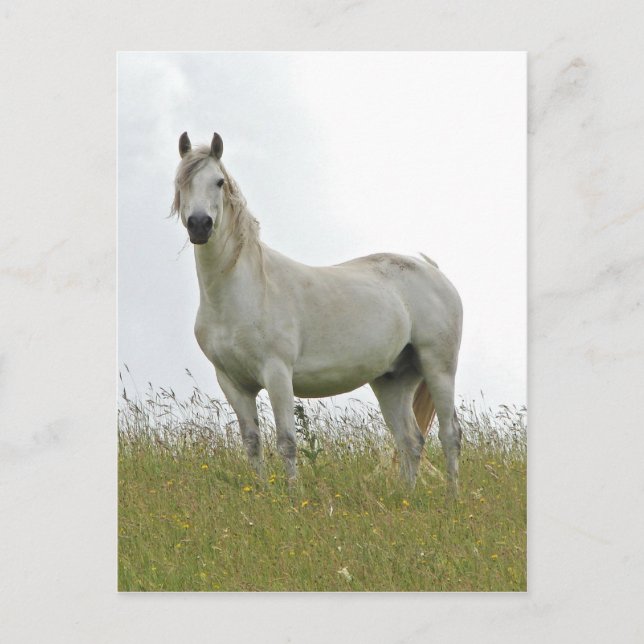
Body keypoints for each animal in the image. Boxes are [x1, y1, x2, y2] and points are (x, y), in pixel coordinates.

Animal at [172, 132, 464, 493]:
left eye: (218, 181)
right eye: (181, 182)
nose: (200, 225)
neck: (242, 292)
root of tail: (434, 272)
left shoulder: (277, 374)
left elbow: (286, 441)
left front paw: (292, 496)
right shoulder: (232, 383)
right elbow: (252, 443)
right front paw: (262, 494)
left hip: (439, 367)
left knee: (450, 435)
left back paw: (452, 497)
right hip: (393, 380)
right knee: (411, 441)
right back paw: (406, 496)